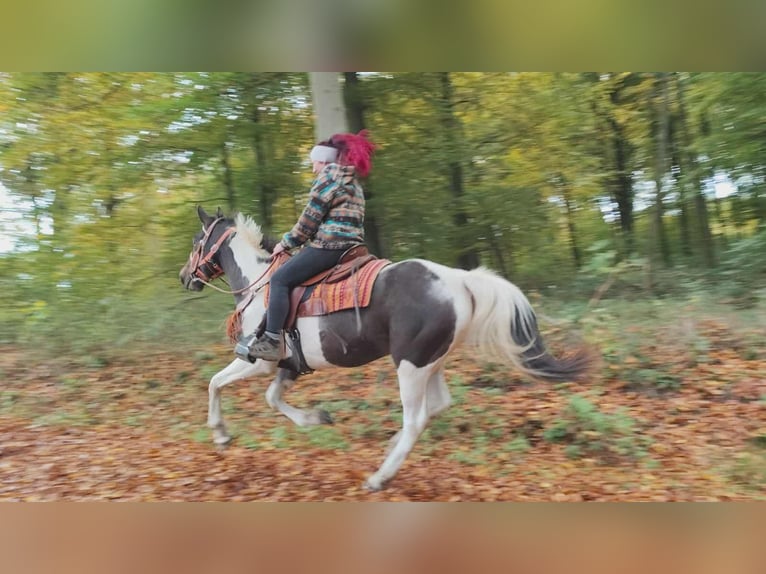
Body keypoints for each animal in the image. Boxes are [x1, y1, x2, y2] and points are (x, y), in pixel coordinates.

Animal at [179, 206, 593, 491]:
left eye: (198, 242)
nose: (185, 277)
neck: (260, 285)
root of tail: (459, 280)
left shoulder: (259, 360)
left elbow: (216, 383)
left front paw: (220, 434)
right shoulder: (289, 366)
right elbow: (272, 398)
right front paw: (317, 419)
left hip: (409, 365)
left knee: (416, 419)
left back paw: (380, 476)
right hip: (430, 362)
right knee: (437, 405)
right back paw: (390, 450)